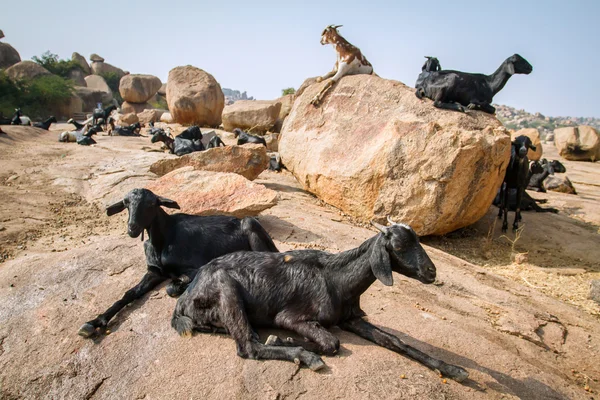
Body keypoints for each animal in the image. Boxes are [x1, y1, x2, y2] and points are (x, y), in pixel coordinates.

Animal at [77, 189, 278, 340]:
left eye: (151, 204)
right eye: (126, 203)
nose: (132, 228)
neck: (163, 240)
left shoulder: (196, 266)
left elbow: (171, 288)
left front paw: (180, 286)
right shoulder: (154, 272)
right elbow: (130, 293)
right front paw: (94, 322)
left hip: (251, 226)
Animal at [172, 217, 468, 382]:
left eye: (418, 240)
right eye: (398, 246)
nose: (431, 272)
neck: (337, 280)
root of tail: (184, 298)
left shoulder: (352, 318)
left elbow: (396, 341)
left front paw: (453, 369)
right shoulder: (291, 317)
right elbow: (331, 342)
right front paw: (283, 340)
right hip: (227, 291)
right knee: (248, 346)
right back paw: (304, 356)